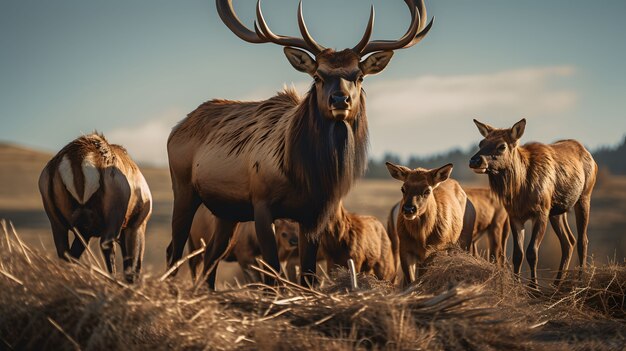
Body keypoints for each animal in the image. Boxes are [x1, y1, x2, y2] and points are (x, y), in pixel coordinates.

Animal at [38, 133, 152, 284]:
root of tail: (77, 156)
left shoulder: (85, 232)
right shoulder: (136, 225)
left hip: (60, 225)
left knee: (65, 253)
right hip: (112, 224)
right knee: (107, 245)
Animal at [163, 0, 432, 288]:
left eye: (359, 76)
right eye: (318, 76)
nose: (340, 99)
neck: (306, 176)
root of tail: (176, 128)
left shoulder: (314, 214)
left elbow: (308, 274)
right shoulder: (262, 203)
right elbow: (272, 272)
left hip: (227, 210)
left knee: (212, 254)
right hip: (183, 189)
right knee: (175, 249)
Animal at [468, 119, 596, 288]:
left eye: (502, 146)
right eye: (481, 143)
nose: (475, 160)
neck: (520, 190)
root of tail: (590, 156)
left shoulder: (541, 212)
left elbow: (532, 252)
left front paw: (534, 287)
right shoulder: (515, 215)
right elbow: (518, 253)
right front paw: (516, 284)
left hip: (584, 196)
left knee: (583, 240)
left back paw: (580, 281)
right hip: (557, 211)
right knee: (568, 241)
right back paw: (556, 283)